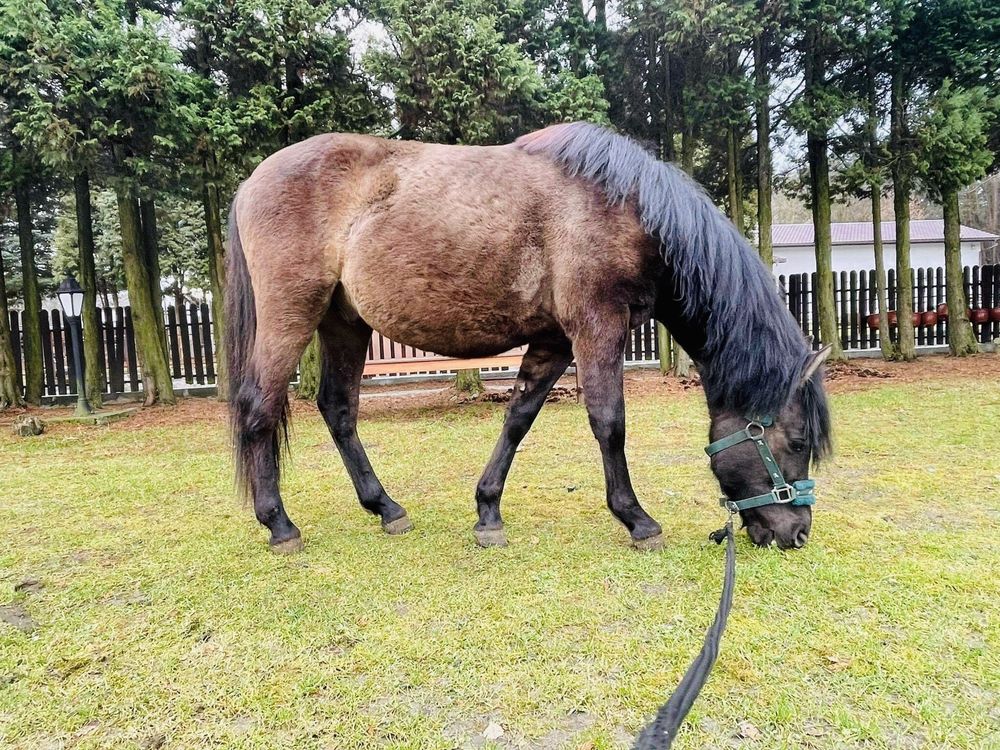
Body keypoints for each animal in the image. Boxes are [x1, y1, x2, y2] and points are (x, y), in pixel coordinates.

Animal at [229, 123, 836, 556]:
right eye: (798, 442)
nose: (797, 533)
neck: (630, 211)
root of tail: (254, 180)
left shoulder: (554, 341)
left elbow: (518, 420)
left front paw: (487, 513)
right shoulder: (598, 326)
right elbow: (609, 423)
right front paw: (637, 519)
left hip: (344, 321)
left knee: (338, 408)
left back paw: (386, 508)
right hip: (292, 312)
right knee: (259, 406)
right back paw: (279, 524)